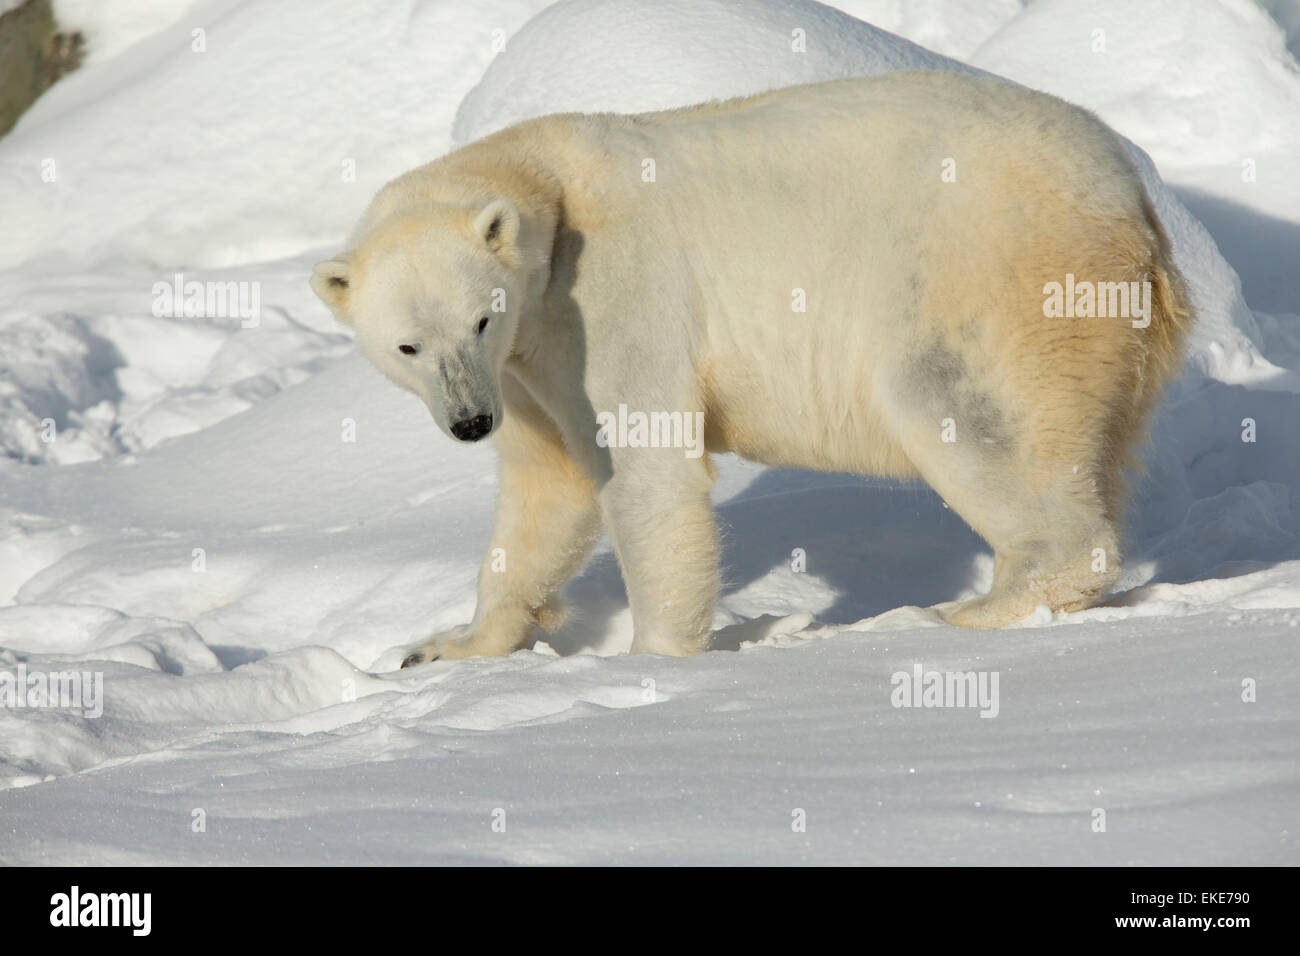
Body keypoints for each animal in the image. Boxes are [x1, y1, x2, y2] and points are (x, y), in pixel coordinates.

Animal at [309, 70, 1190, 660]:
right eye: (408, 346)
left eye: (479, 319)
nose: (468, 421)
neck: (551, 196)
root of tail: (1135, 205)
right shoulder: (530, 365)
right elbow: (546, 488)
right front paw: (447, 647)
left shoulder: (615, 300)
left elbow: (646, 469)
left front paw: (651, 659)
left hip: (993, 284)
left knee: (967, 413)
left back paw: (964, 611)